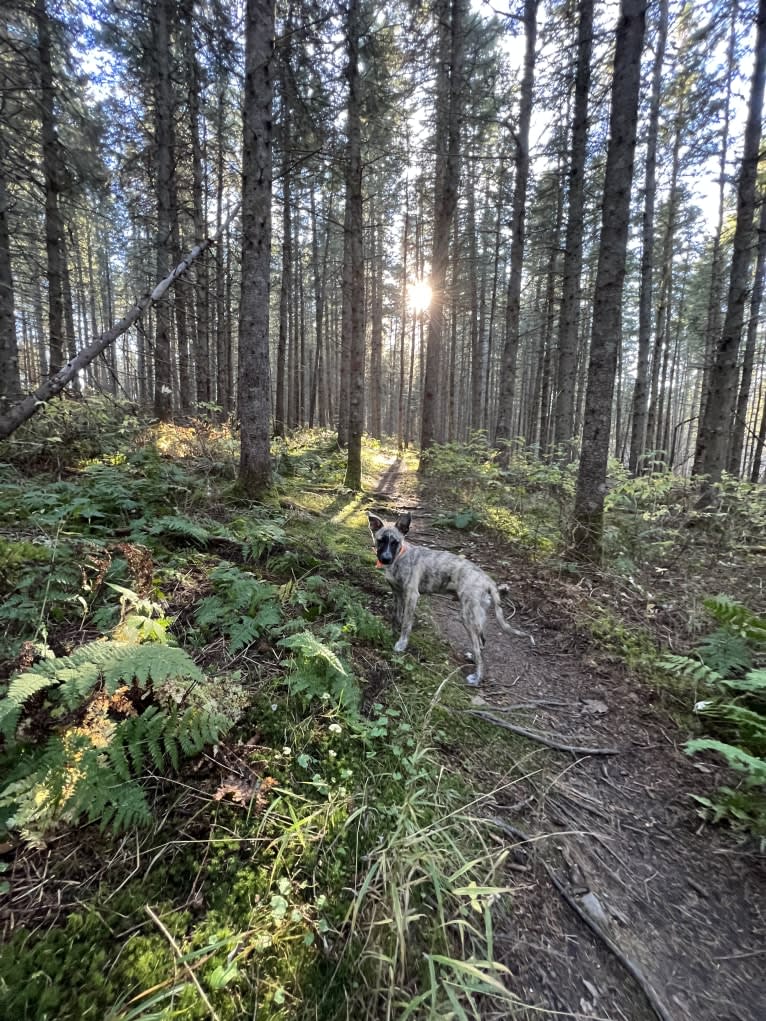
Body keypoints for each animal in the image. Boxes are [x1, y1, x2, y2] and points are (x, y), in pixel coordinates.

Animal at [369, 510, 531, 686]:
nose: (385, 559)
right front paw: (392, 634)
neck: (400, 557)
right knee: (482, 642)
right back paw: (473, 659)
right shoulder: (397, 594)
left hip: (468, 617)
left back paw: (477, 677)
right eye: (380, 541)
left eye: (395, 543)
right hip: (476, 615)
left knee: (479, 649)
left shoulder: (411, 595)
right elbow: (396, 617)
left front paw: (401, 643)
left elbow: (406, 623)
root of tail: (488, 580)